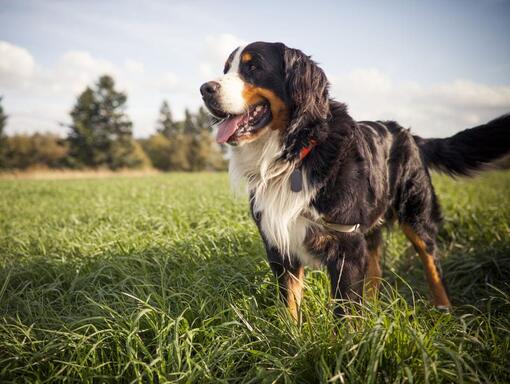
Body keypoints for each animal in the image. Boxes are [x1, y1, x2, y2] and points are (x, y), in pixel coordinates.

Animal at [199, 41, 510, 318]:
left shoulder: (346, 246)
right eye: (226, 69)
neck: (297, 153)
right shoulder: (280, 246)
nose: (204, 89)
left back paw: (445, 312)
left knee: (433, 265)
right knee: (376, 271)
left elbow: (345, 312)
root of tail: (409, 133)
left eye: (253, 67)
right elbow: (290, 307)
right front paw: (291, 339)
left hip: (416, 217)